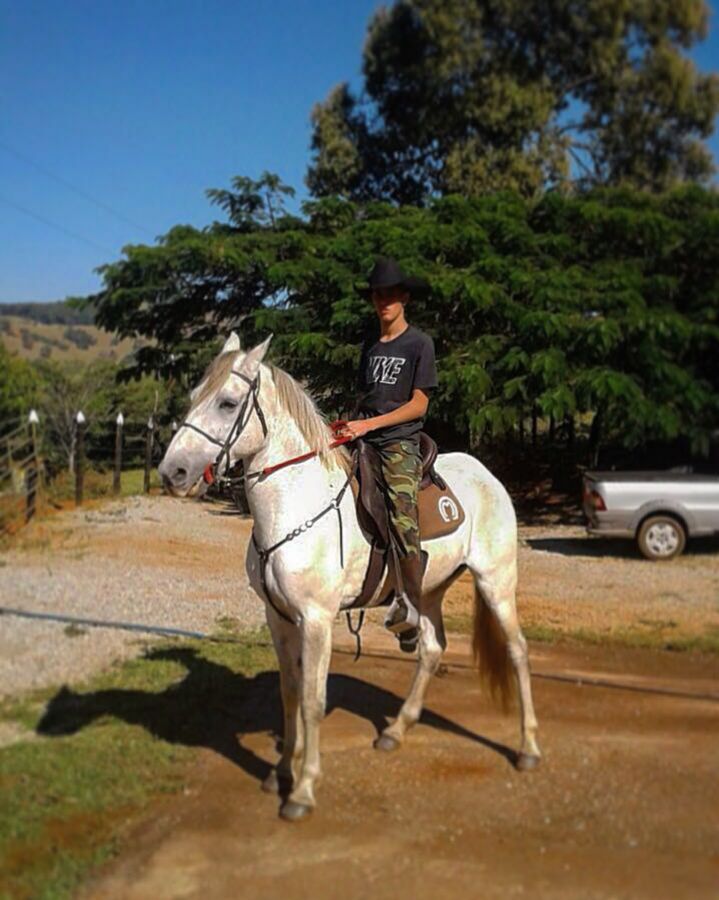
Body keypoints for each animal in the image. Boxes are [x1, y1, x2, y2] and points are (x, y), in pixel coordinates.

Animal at [158, 332, 541, 821]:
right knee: (432, 649)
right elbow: (288, 692)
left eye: (227, 403)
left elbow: (312, 700)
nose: (173, 473)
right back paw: (396, 730)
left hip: (496, 581)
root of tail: (487, 475)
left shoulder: (317, 619)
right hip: (428, 590)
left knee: (518, 651)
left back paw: (528, 748)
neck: (294, 505)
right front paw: (281, 772)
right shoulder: (277, 618)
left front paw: (303, 789)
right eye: (193, 397)